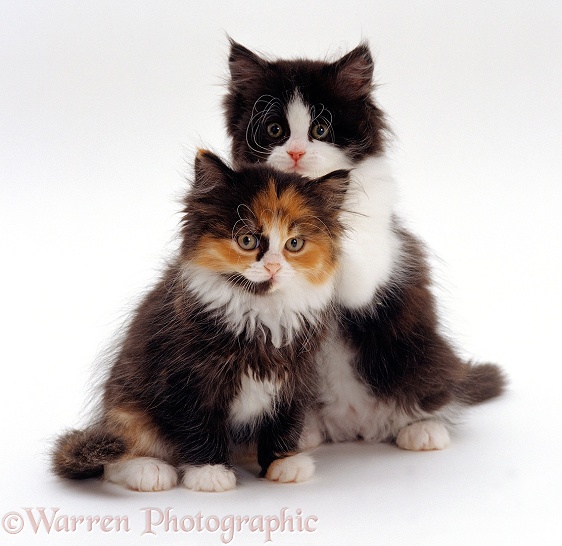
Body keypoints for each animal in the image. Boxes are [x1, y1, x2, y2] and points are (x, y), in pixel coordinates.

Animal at [50, 150, 348, 488]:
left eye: (294, 244)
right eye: (247, 240)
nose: (273, 267)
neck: (258, 314)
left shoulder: (296, 375)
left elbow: (284, 422)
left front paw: (283, 462)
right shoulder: (187, 377)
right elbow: (200, 425)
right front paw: (210, 472)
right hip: (128, 407)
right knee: (115, 459)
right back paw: (150, 471)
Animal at [222, 40, 504, 450]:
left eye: (320, 129)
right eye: (275, 130)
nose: (295, 152)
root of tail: (355, 425)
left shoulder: (378, 251)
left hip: (421, 353)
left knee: (435, 391)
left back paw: (422, 428)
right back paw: (303, 434)